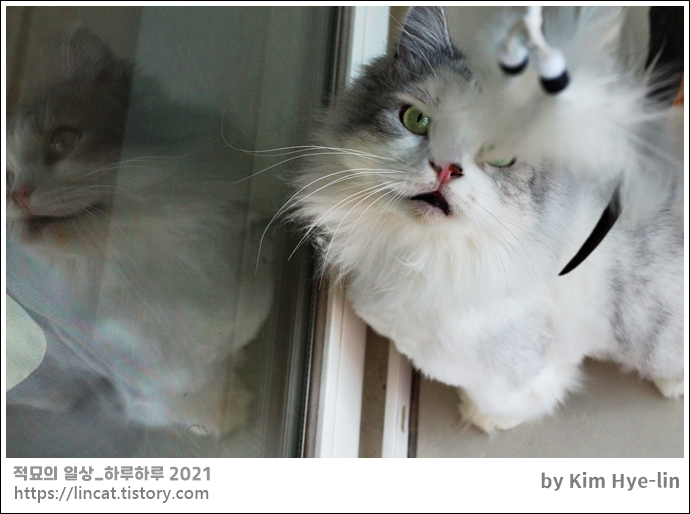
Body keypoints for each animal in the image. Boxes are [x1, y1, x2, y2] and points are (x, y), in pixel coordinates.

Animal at [6, 27, 273, 438]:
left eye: (62, 141)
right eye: (6, 180)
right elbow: (195, 399)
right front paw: (225, 415)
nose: (17, 195)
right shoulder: (146, 385)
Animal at [293, 7, 684, 432]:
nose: (446, 167)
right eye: (416, 120)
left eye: (500, 155)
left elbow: (512, 393)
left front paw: (482, 417)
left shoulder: (519, 359)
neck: (420, 255)